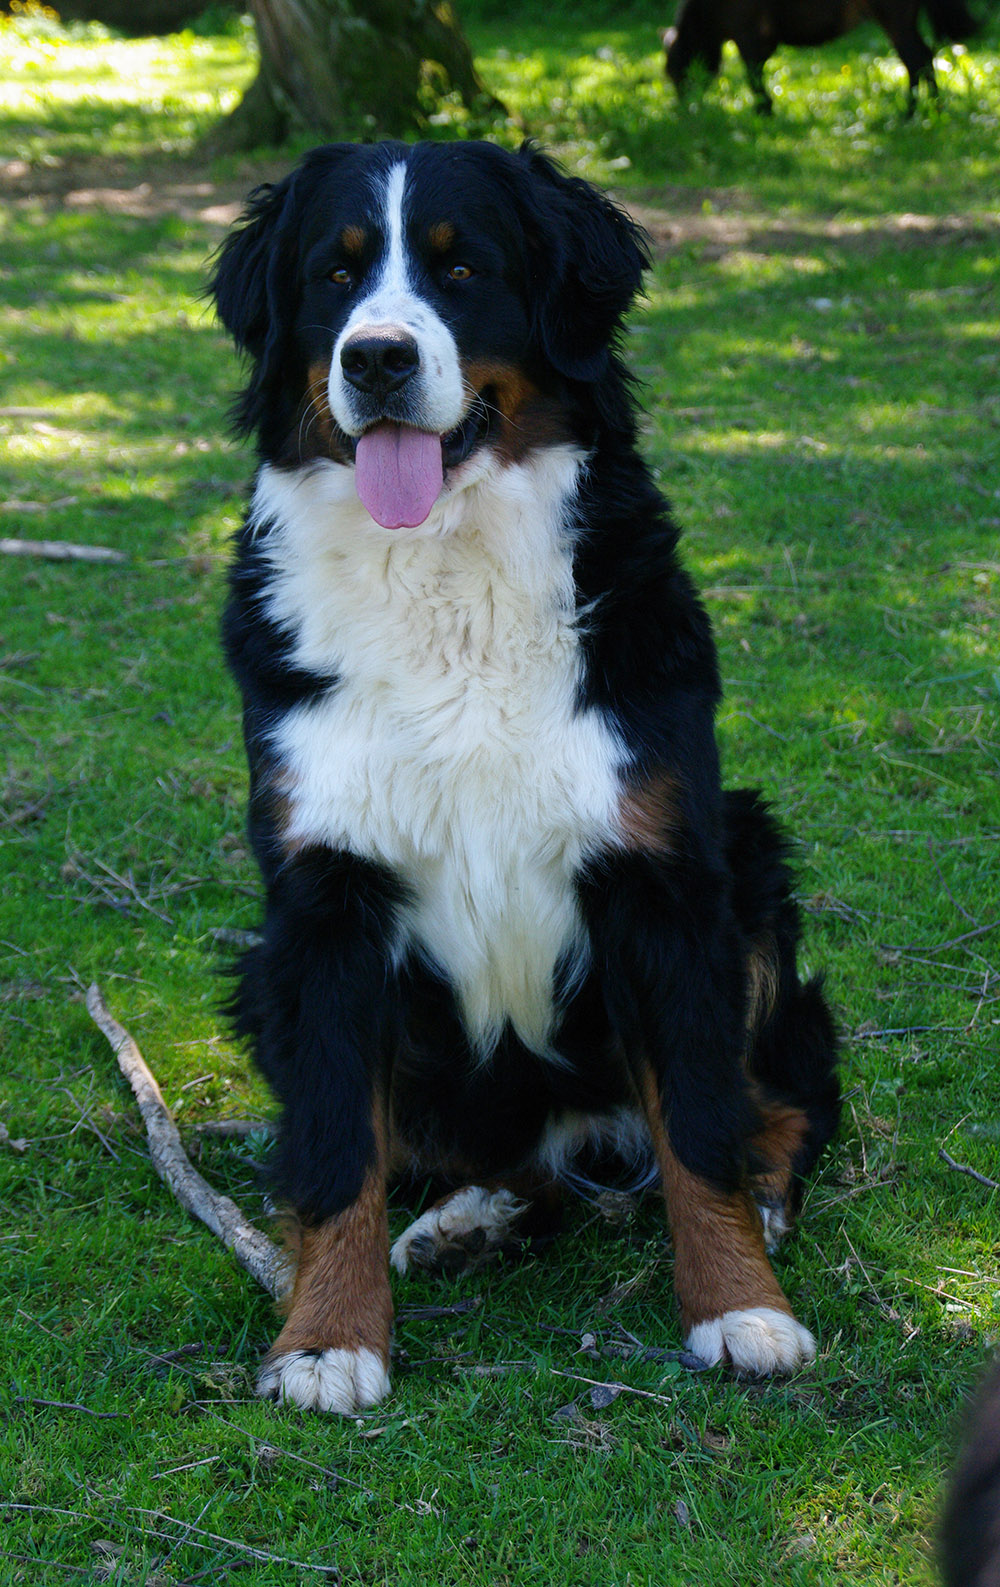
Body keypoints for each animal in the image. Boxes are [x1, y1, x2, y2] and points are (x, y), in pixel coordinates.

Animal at [210, 139, 840, 1415]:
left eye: (462, 269)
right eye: (333, 275)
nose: (377, 358)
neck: (446, 574)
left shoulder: (661, 879)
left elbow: (698, 1123)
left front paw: (740, 1308)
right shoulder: (324, 901)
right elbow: (335, 1150)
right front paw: (326, 1340)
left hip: (747, 862)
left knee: (784, 1094)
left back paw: (753, 1200)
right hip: (262, 979)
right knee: (478, 1157)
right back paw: (472, 1220)